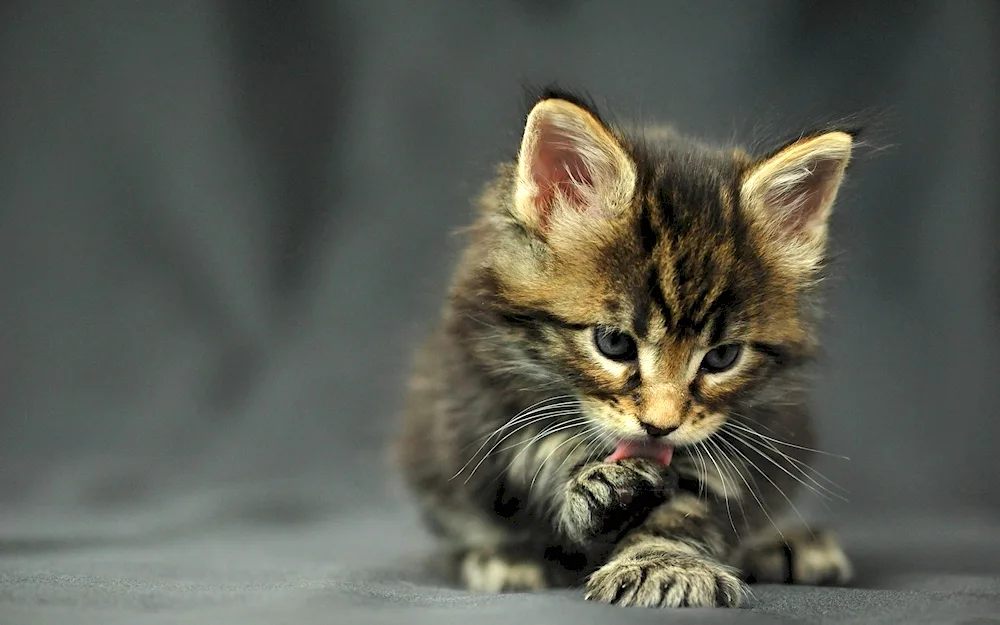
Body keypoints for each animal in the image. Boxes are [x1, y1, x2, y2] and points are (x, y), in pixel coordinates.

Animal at [394, 90, 856, 608]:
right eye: (613, 343)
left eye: (721, 358)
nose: (660, 427)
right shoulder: (486, 399)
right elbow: (539, 462)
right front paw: (600, 489)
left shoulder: (747, 438)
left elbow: (688, 510)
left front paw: (662, 564)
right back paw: (502, 558)